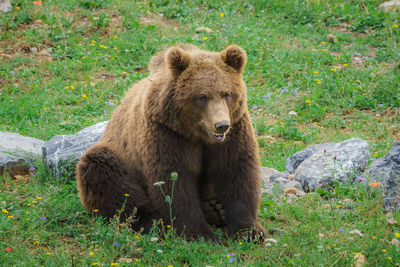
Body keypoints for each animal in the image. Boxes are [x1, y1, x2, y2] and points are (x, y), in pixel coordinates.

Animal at [77, 44, 268, 243]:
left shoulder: (234, 130)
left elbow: (236, 172)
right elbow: (174, 180)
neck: (197, 134)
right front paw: (200, 234)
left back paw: (216, 209)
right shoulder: (167, 133)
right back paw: (156, 221)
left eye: (227, 94)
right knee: (105, 173)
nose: (221, 125)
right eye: (202, 96)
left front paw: (250, 231)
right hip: (117, 157)